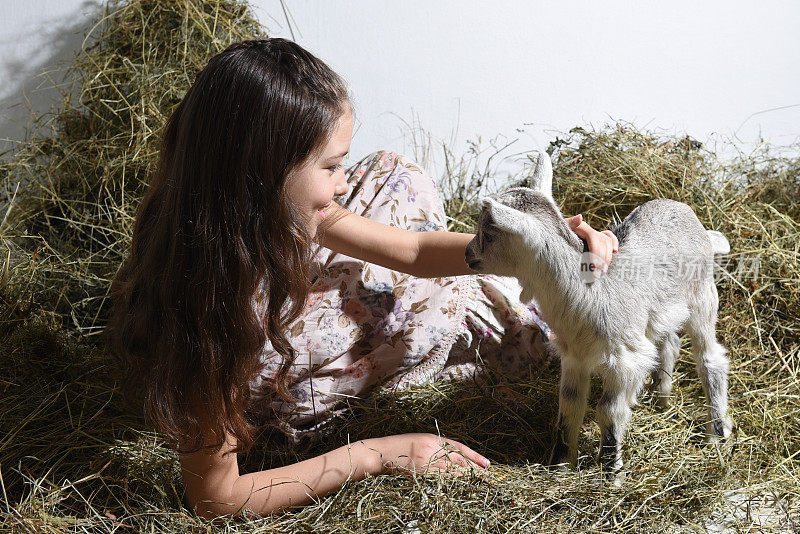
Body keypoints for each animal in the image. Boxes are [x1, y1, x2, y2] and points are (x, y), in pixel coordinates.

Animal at [466, 153, 736, 476]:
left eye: (490, 233)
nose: (466, 253)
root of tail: (691, 218)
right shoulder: (574, 355)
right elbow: (569, 406)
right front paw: (560, 465)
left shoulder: (624, 359)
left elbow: (608, 410)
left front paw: (611, 471)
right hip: (659, 312)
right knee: (668, 343)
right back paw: (662, 398)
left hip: (703, 297)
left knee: (711, 359)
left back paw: (718, 434)